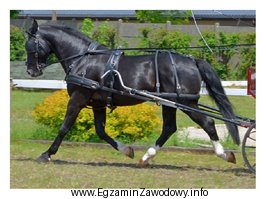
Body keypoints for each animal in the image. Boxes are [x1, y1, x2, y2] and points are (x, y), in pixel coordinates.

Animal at [26, 20, 240, 166]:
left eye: (30, 45)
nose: (31, 71)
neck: (84, 60)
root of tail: (192, 60)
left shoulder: (78, 98)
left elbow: (64, 127)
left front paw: (47, 154)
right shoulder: (98, 103)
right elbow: (101, 131)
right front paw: (127, 150)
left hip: (187, 103)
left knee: (208, 123)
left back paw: (224, 154)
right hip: (169, 103)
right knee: (169, 127)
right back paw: (146, 156)